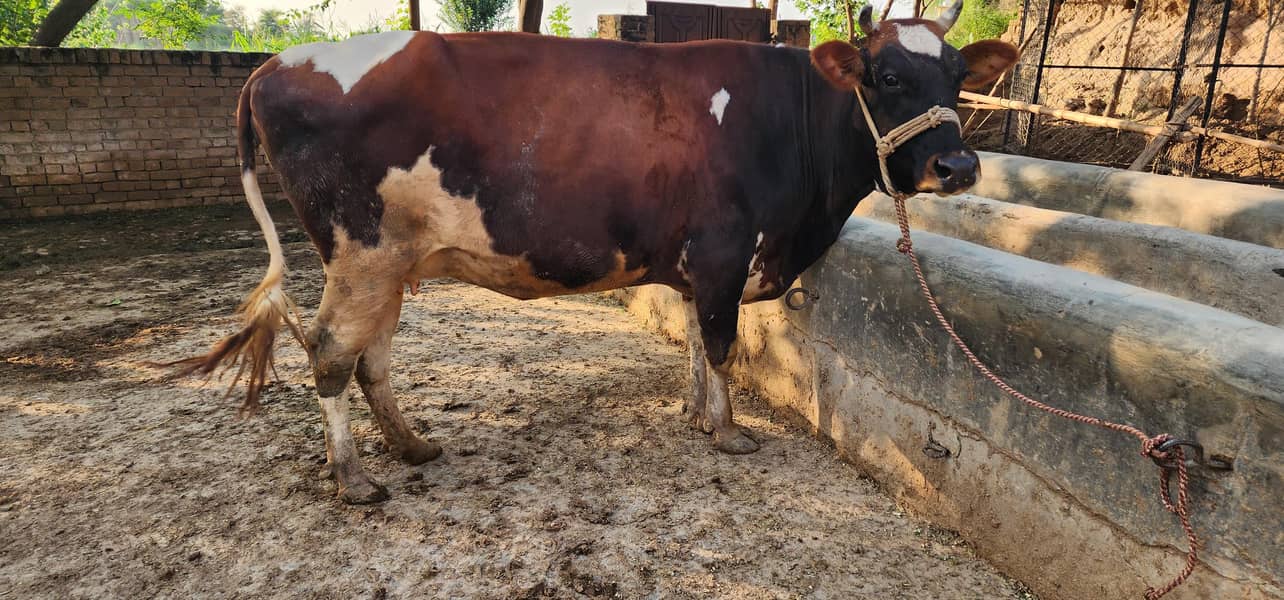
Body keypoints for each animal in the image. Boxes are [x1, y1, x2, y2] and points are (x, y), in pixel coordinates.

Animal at [176, 2, 1018, 504]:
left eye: (956, 77)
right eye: (887, 75)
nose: (957, 166)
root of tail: (277, 62)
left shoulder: (696, 262)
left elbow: (693, 341)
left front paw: (691, 414)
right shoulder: (725, 251)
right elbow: (721, 346)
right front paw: (729, 431)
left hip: (389, 262)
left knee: (370, 357)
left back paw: (412, 446)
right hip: (362, 253)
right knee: (328, 352)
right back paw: (352, 477)